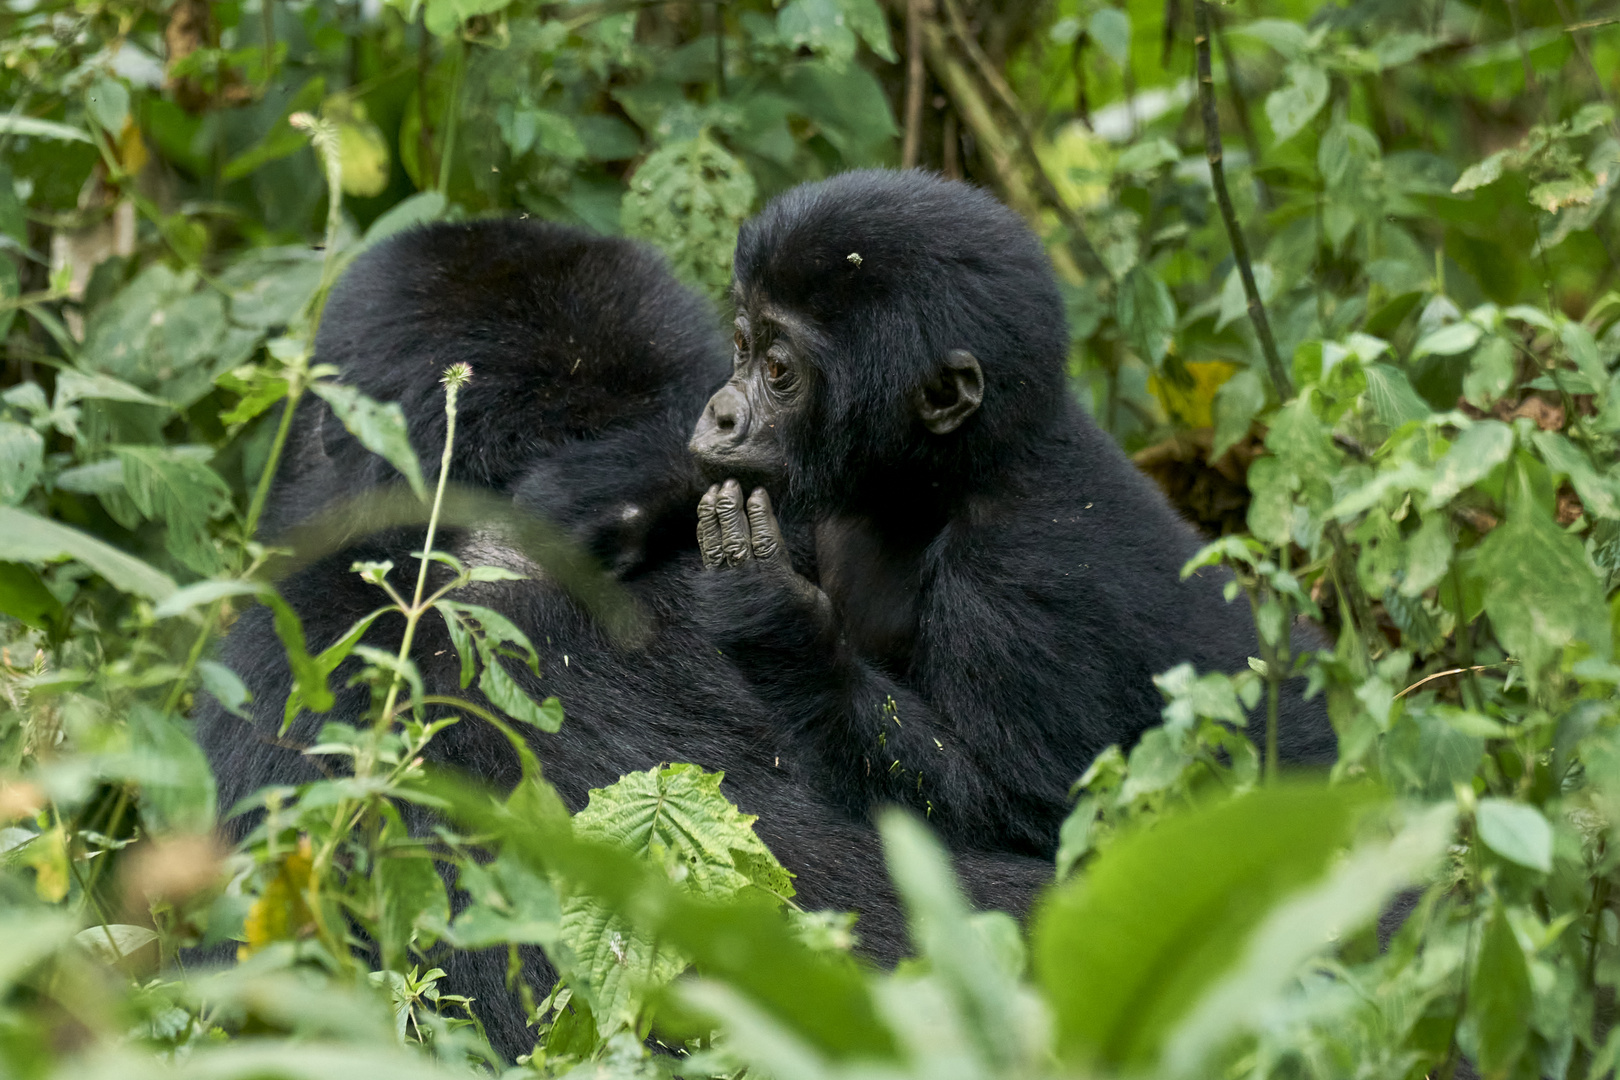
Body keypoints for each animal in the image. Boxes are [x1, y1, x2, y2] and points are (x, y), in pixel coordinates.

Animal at [690, 170, 1334, 861]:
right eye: (741, 344)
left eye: (779, 369)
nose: (720, 413)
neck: (949, 476)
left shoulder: (1017, 572)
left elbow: (1025, 810)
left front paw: (774, 620)